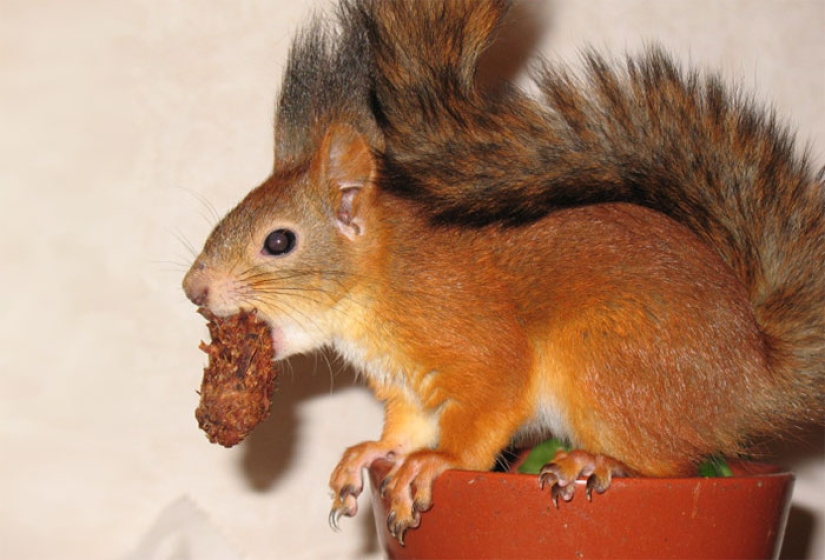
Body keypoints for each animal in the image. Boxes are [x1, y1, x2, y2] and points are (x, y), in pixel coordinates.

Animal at [182, 0, 825, 545]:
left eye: (279, 241)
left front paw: (434, 465)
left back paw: (595, 460)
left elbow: (487, 406)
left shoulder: (472, 341)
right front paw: (369, 453)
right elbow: (404, 429)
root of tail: (753, 377)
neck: (381, 285)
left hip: (608, 362)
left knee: (671, 464)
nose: (194, 289)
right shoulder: (409, 389)